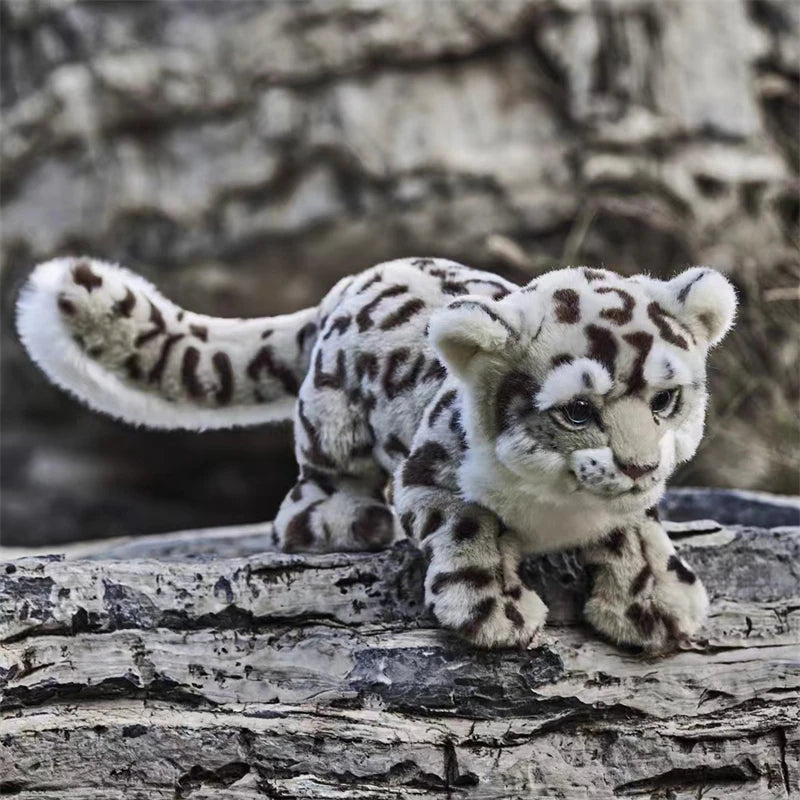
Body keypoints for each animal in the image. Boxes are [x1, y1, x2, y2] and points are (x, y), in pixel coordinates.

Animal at [16, 255, 736, 651]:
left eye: (666, 399)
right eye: (578, 410)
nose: (641, 465)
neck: (559, 507)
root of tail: (347, 282)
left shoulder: (626, 507)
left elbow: (634, 532)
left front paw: (656, 603)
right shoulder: (429, 477)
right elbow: (470, 525)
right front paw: (494, 611)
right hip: (329, 422)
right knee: (307, 496)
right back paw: (348, 520)